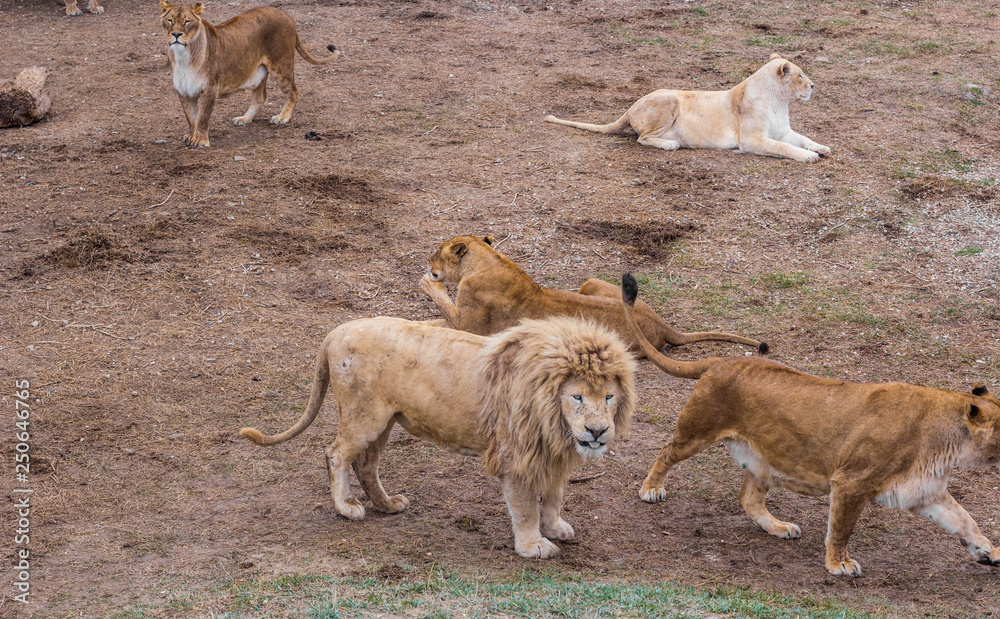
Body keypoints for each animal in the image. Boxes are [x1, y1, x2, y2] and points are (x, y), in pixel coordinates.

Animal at [159, 2, 340, 148]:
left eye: (187, 21)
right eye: (170, 20)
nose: (176, 34)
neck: (183, 56)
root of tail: (286, 15)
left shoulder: (209, 89)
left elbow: (202, 118)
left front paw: (200, 140)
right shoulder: (183, 91)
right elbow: (191, 118)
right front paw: (192, 136)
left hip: (281, 66)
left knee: (294, 92)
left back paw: (282, 117)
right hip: (259, 72)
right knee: (261, 97)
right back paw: (245, 119)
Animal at [240, 315, 636, 559]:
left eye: (609, 397)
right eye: (578, 397)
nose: (597, 431)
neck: (554, 417)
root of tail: (335, 331)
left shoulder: (551, 453)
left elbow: (554, 495)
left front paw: (554, 528)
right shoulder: (516, 453)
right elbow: (525, 506)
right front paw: (532, 545)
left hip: (385, 421)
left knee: (366, 465)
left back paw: (387, 505)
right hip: (364, 417)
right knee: (336, 454)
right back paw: (347, 507)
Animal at [419, 235, 767, 356]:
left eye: (436, 253)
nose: (428, 263)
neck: (488, 261)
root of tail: (665, 326)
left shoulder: (471, 327)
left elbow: (443, 307)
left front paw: (429, 283)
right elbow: (432, 322)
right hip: (592, 283)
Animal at [545, 54, 829, 163]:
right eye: (800, 75)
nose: (813, 85)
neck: (779, 102)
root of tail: (631, 105)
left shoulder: (783, 131)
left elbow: (803, 138)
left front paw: (821, 148)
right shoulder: (752, 139)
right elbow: (784, 148)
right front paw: (808, 156)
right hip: (668, 101)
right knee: (642, 138)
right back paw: (670, 144)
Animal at [620, 272, 1000, 576]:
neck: (949, 443)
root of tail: (720, 361)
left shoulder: (925, 490)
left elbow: (965, 520)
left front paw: (988, 551)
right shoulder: (851, 482)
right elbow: (842, 528)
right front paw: (839, 564)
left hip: (763, 458)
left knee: (749, 498)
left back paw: (778, 527)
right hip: (697, 431)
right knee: (666, 450)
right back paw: (650, 489)